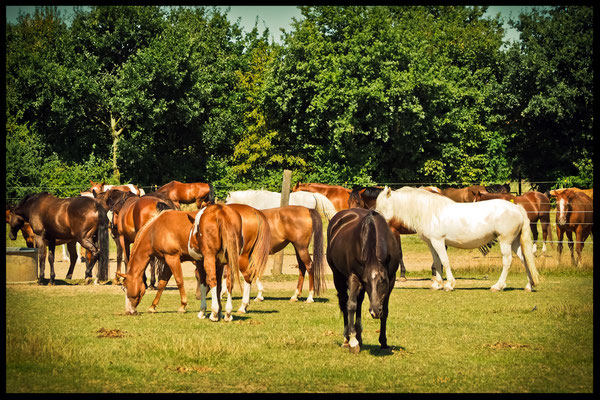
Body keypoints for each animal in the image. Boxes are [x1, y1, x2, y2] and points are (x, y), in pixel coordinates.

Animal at [326, 208, 400, 352]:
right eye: (366, 281)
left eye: (383, 280)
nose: (375, 311)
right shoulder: (355, 277)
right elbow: (350, 305)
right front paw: (353, 341)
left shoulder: (391, 279)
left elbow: (385, 310)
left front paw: (383, 342)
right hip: (338, 276)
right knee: (345, 302)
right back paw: (347, 338)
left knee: (359, 302)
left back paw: (359, 336)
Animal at [376, 186, 540, 292]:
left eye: (382, 205)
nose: (375, 218)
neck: (429, 211)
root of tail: (517, 208)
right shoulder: (431, 244)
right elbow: (437, 262)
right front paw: (437, 284)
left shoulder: (438, 242)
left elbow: (445, 261)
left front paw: (449, 285)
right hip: (515, 242)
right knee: (525, 259)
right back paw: (529, 286)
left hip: (505, 241)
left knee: (507, 261)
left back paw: (497, 286)